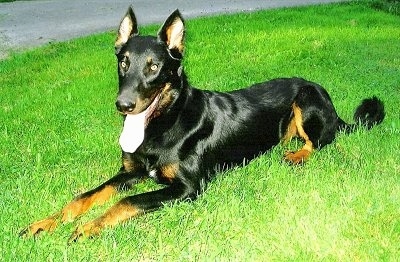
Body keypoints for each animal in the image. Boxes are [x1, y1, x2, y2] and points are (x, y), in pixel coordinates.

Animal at [19, 6, 384, 244]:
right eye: (123, 62)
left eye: (153, 67)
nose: (123, 105)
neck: (165, 122)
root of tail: (330, 103)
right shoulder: (131, 172)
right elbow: (83, 196)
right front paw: (46, 222)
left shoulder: (188, 188)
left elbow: (127, 202)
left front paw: (87, 228)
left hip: (306, 99)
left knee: (320, 141)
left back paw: (297, 155)